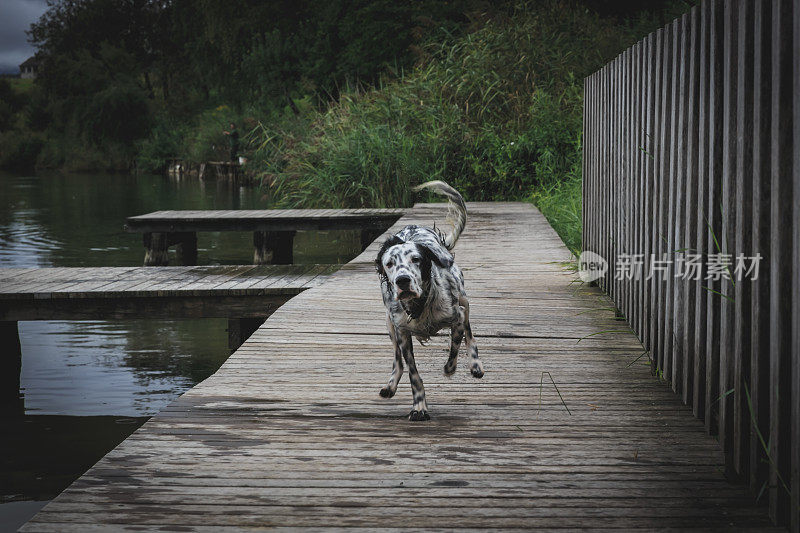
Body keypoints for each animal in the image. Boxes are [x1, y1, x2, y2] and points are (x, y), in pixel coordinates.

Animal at [374, 181, 482, 422]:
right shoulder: (402, 333)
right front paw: (419, 407)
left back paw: (475, 364)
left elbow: (455, 344)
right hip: (388, 324)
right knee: (397, 362)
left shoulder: (457, 315)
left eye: (416, 259)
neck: (419, 306)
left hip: (464, 299)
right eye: (389, 263)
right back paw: (391, 385)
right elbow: (413, 373)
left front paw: (450, 368)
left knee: (470, 333)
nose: (403, 280)